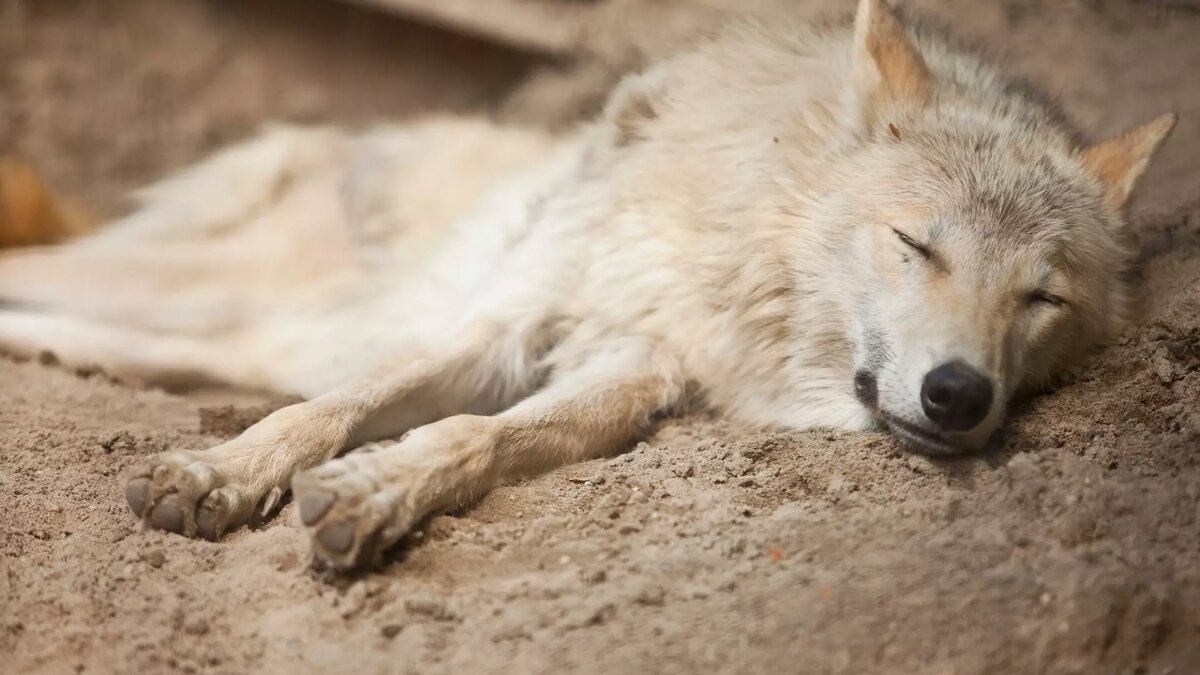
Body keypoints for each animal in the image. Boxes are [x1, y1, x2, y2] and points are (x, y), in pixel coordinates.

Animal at [0, 0, 1171, 566]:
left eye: (1042, 298)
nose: (959, 395)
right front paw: (219, 473)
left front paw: (377, 492)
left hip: (217, 325)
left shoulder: (636, 371)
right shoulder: (516, 318)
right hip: (180, 282)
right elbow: (326, 411)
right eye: (915, 244)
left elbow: (474, 437)